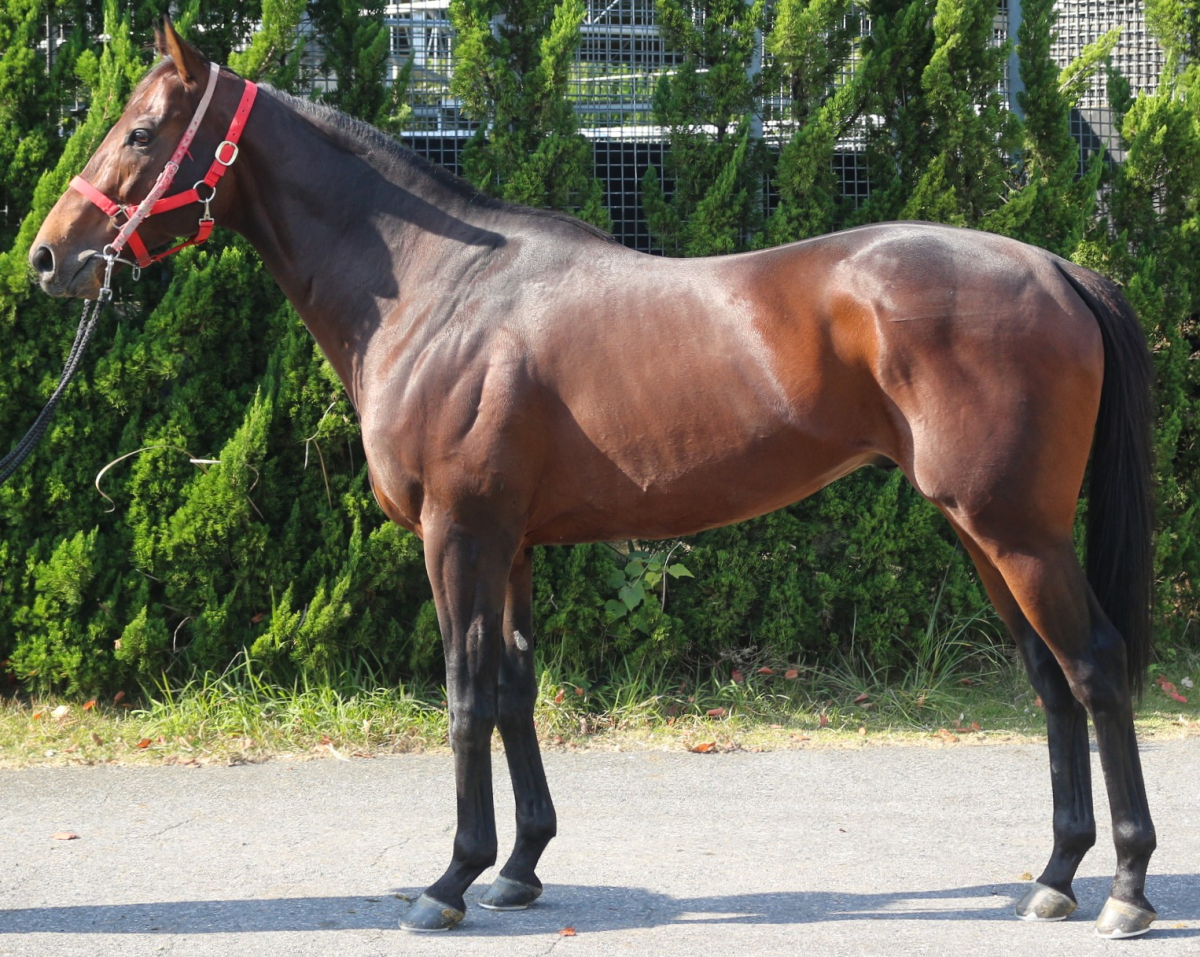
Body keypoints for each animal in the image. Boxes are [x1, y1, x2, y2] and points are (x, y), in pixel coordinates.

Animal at [29, 18, 1158, 938]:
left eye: (141, 132)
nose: (48, 259)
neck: (442, 293)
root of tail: (1057, 268)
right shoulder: (512, 541)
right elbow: (516, 685)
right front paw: (520, 867)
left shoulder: (458, 534)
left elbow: (465, 693)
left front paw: (450, 880)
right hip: (983, 531)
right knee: (1049, 676)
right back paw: (1055, 876)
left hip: (1016, 530)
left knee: (1096, 666)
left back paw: (1127, 890)